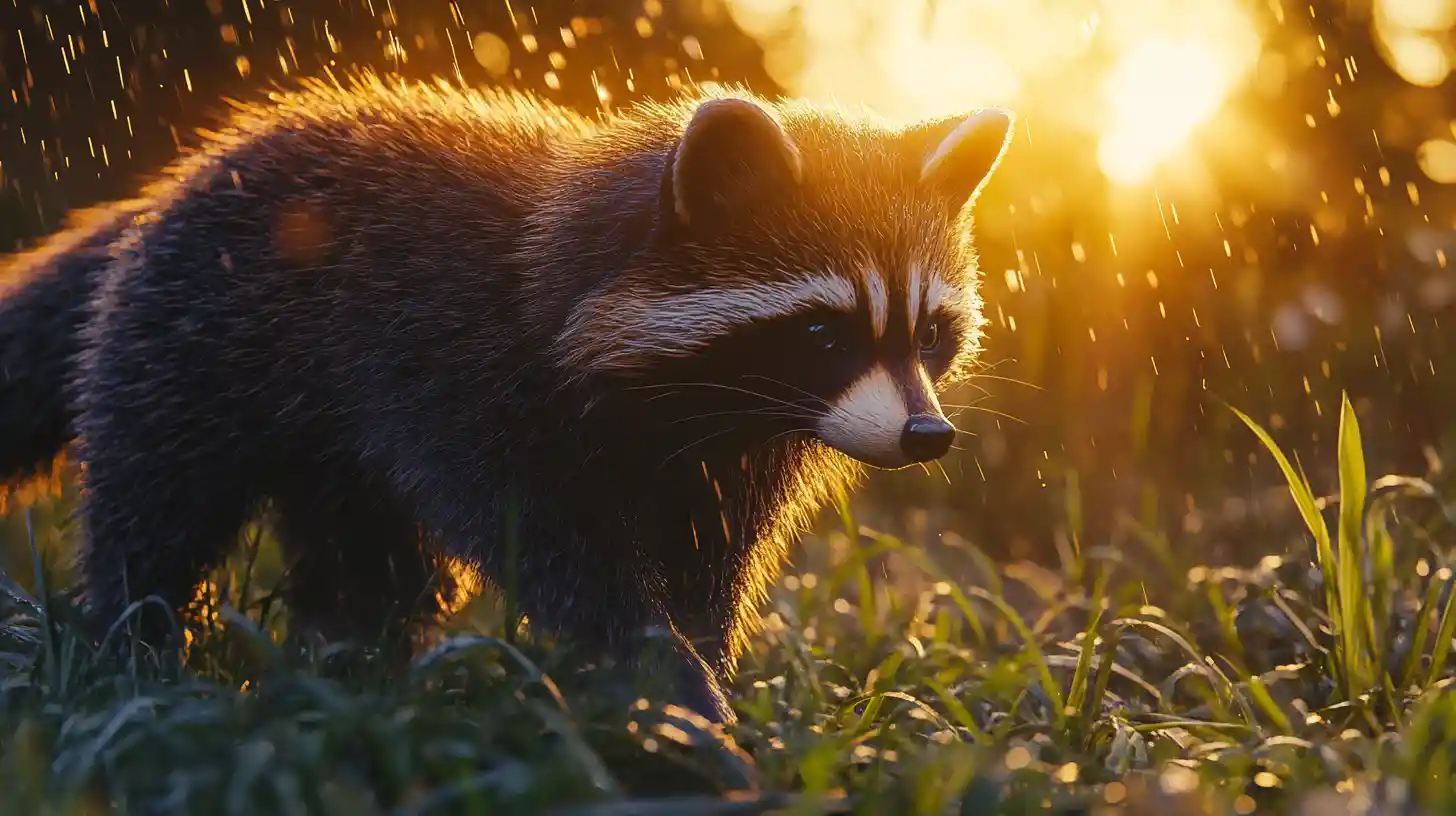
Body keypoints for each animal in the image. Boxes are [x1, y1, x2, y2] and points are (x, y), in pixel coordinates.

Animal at [0, 74, 1013, 722]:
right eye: (824, 334)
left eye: (930, 331)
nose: (926, 433)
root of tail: (160, 195)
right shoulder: (471, 370)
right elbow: (557, 546)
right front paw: (663, 679)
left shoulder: (729, 448)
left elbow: (708, 558)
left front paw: (694, 658)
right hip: (194, 332)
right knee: (158, 495)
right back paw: (135, 641)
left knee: (376, 558)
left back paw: (356, 658)